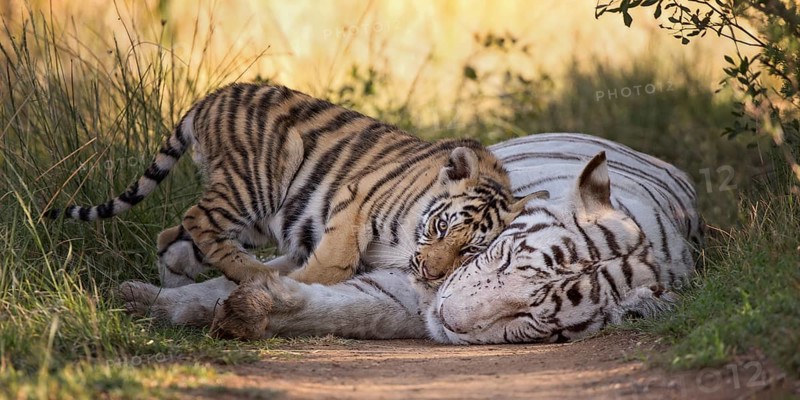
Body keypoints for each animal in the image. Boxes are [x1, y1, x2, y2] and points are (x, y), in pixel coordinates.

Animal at [47, 83, 537, 291]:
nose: (433, 274)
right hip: (259, 179)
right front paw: (295, 284)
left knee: (173, 235)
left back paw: (178, 287)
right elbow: (335, 262)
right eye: (440, 228)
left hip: (257, 217)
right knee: (195, 218)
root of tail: (209, 98)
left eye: (470, 249)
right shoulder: (356, 201)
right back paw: (255, 274)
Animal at [119, 133, 704, 343]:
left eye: (534, 318)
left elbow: (339, 307)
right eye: (505, 257)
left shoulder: (404, 294)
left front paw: (245, 309)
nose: (448, 319)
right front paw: (144, 300)